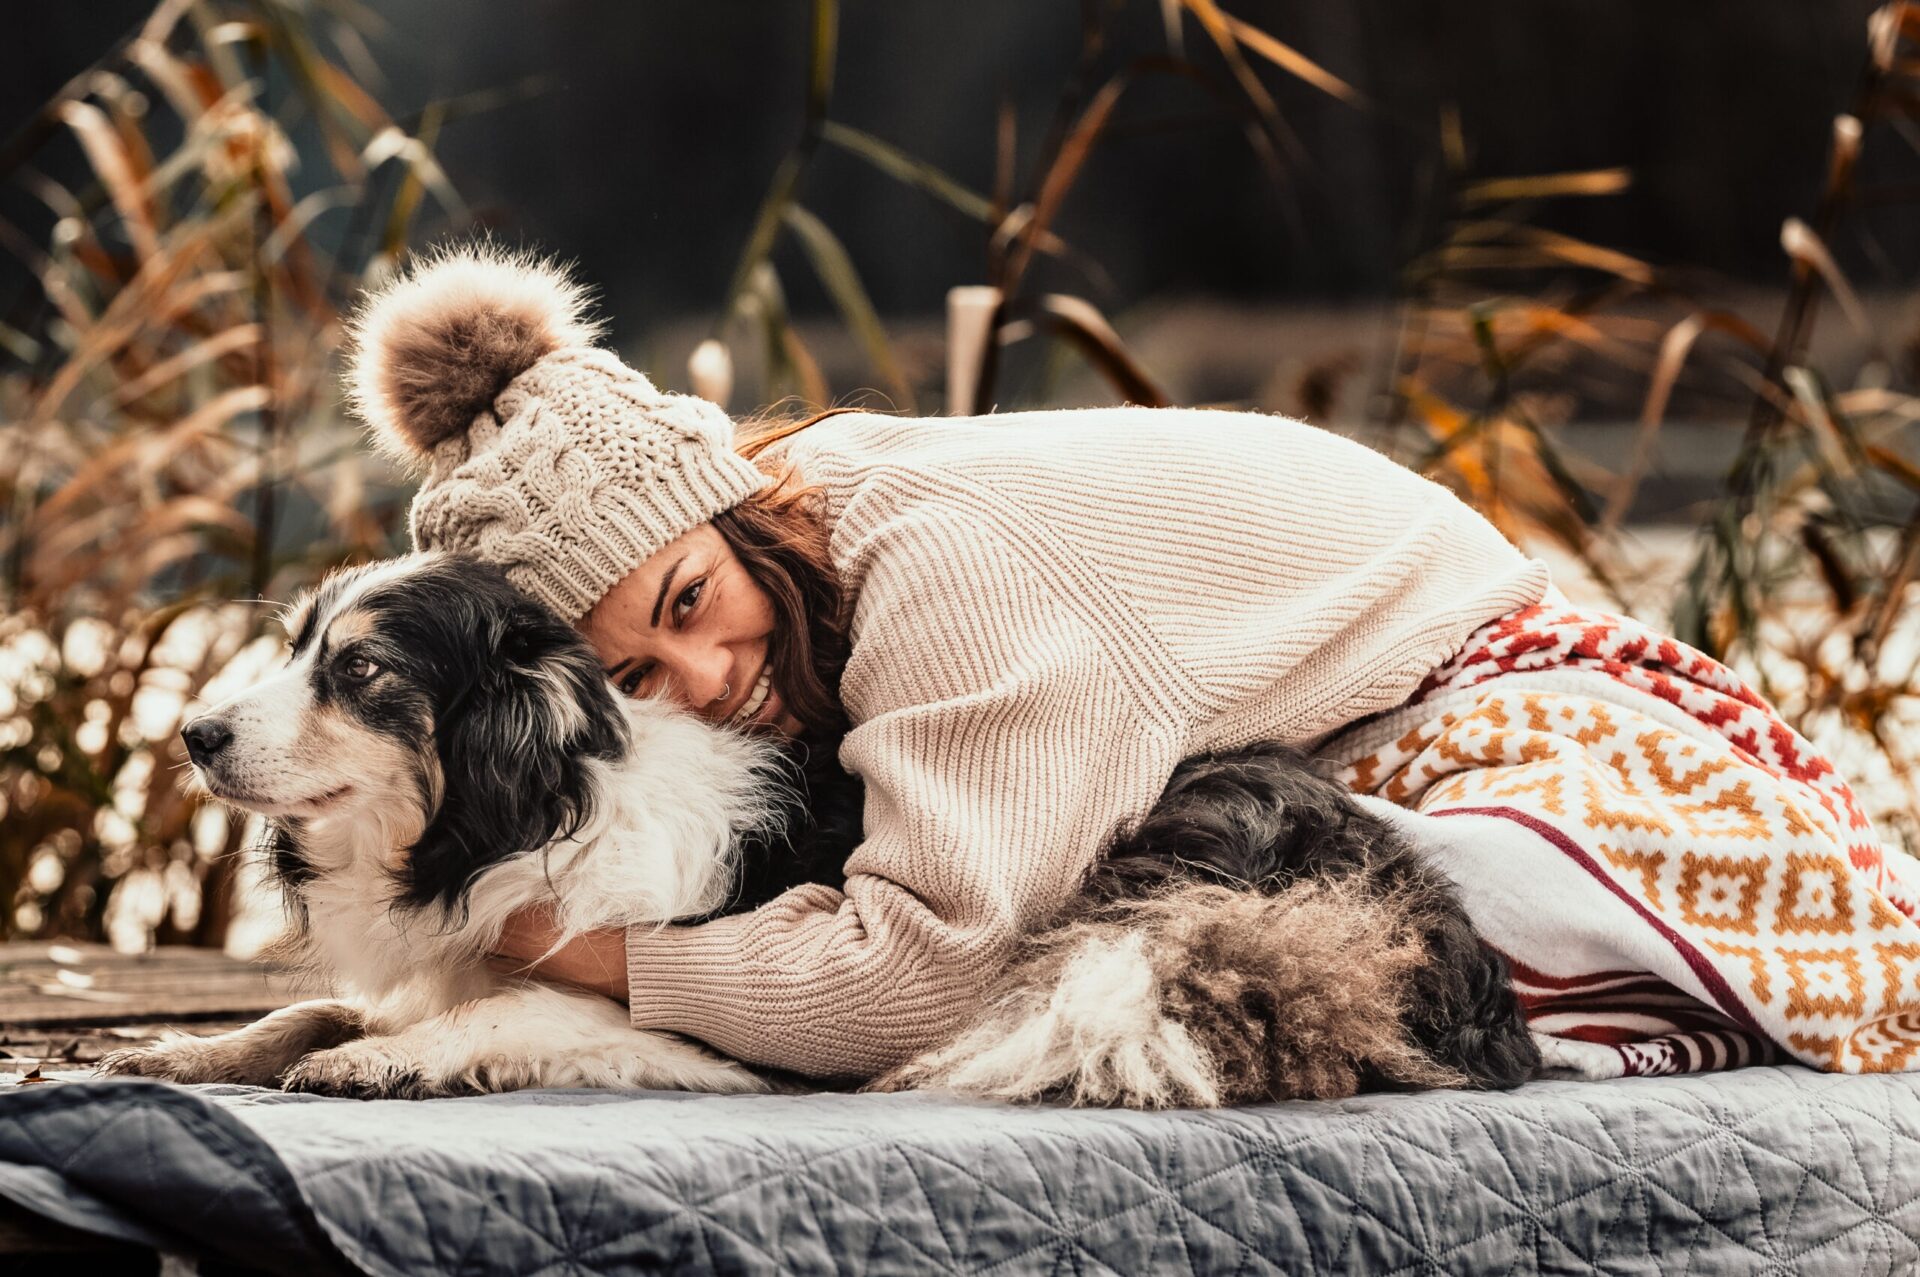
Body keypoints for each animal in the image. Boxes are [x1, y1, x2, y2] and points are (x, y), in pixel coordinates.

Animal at [101, 553, 1543, 1098]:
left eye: (361, 672)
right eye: (297, 647)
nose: (192, 735)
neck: (523, 810)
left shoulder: (674, 1019)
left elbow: (501, 1007)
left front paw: (378, 1061)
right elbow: (306, 1007)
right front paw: (185, 1049)